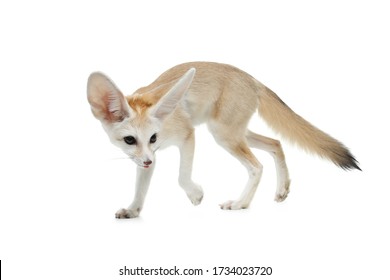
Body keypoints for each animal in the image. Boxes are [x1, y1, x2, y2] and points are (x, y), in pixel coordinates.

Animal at [87, 61, 360, 219]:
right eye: (129, 140)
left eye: (153, 137)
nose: (147, 162)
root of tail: (252, 79)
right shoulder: (147, 157)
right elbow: (140, 188)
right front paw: (133, 210)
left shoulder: (187, 135)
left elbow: (182, 177)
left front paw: (196, 195)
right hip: (236, 133)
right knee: (276, 143)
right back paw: (282, 189)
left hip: (223, 135)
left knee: (257, 166)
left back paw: (240, 204)